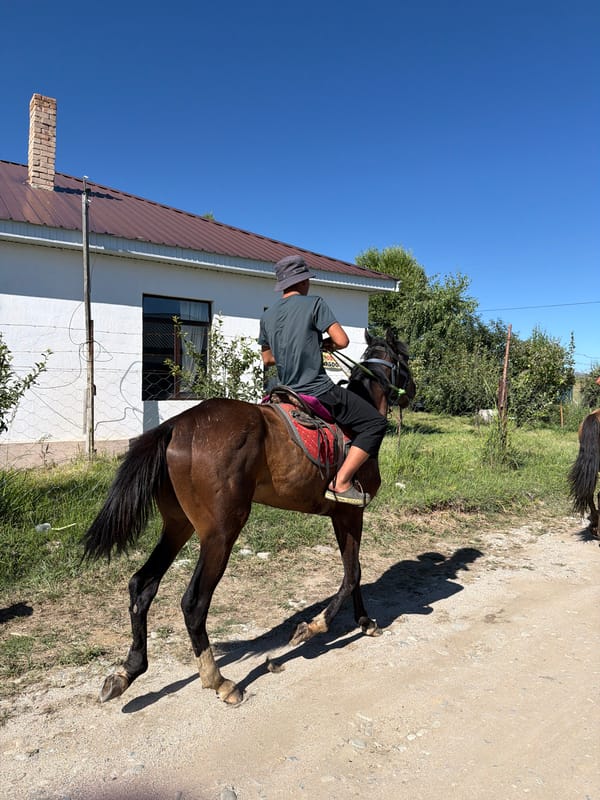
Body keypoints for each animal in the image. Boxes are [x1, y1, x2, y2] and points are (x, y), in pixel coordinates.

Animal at [82, 329, 415, 705]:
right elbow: (353, 572)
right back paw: (218, 680)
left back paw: (128, 670)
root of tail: (176, 426)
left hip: (178, 525)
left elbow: (354, 571)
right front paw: (315, 626)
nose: (414, 390)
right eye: (405, 358)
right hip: (220, 532)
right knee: (193, 603)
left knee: (142, 585)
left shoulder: (342, 515)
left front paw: (364, 621)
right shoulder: (350, 511)